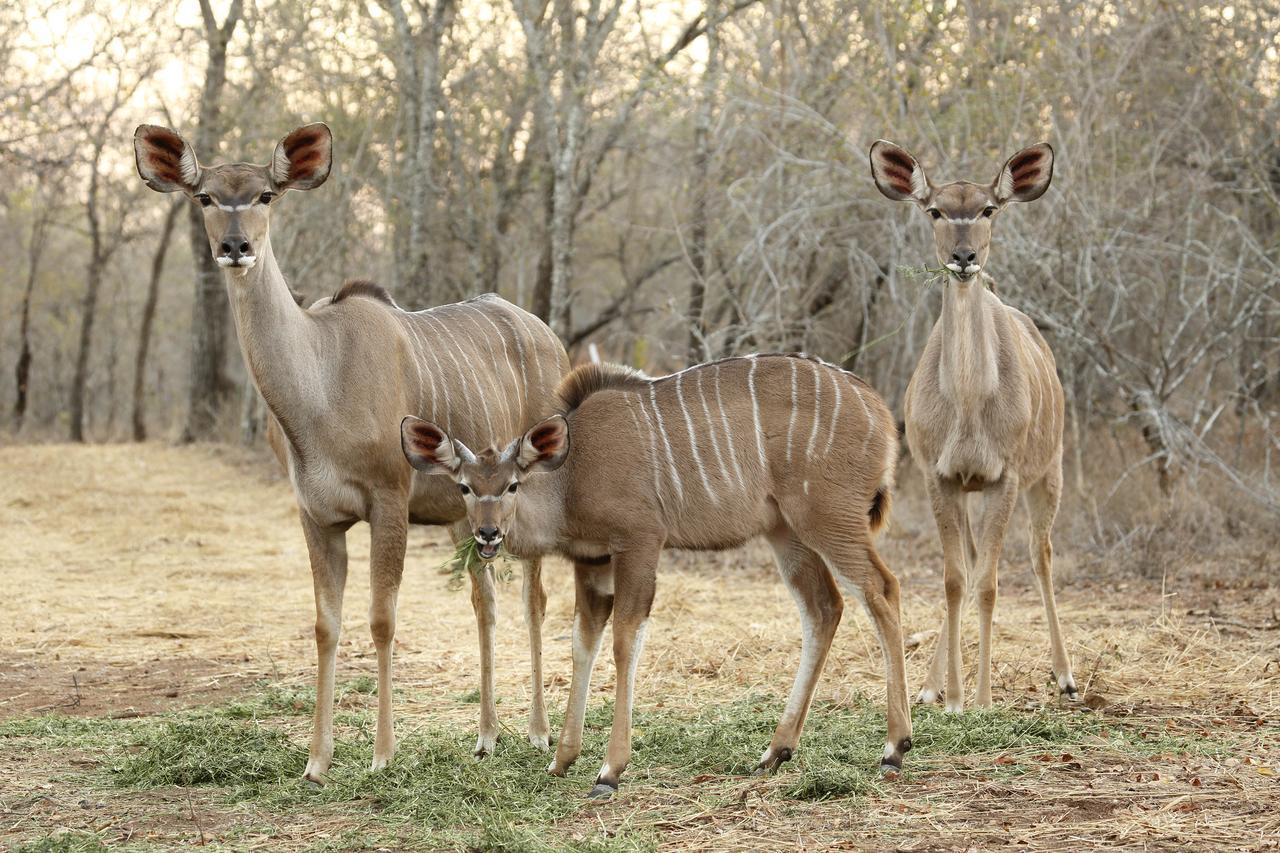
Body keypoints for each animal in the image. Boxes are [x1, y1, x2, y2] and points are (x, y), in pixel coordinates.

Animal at [133, 122, 576, 778]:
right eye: (206, 197)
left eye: (266, 195)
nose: (236, 246)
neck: (321, 387)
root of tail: (550, 337)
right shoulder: (317, 514)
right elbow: (326, 624)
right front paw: (317, 760)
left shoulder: (387, 502)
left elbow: (382, 619)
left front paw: (383, 754)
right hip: (470, 513)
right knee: (485, 598)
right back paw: (486, 737)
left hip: (524, 492)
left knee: (534, 598)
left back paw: (540, 733)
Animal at [399, 353, 911, 799]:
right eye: (465, 487)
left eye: (511, 486)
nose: (487, 534)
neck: (573, 474)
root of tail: (879, 410)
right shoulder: (593, 561)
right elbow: (583, 641)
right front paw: (562, 759)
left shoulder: (640, 542)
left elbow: (626, 638)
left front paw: (609, 772)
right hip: (784, 529)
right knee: (824, 606)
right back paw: (774, 752)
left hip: (828, 517)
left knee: (881, 588)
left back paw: (894, 748)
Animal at [875, 140, 1075, 712]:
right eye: (934, 211)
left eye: (988, 209)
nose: (964, 258)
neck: (967, 405)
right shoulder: (940, 476)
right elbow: (954, 580)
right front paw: (951, 696)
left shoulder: (1005, 476)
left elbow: (988, 583)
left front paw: (983, 699)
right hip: (972, 492)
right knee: (967, 563)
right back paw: (929, 686)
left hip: (1048, 473)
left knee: (1040, 555)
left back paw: (1066, 676)